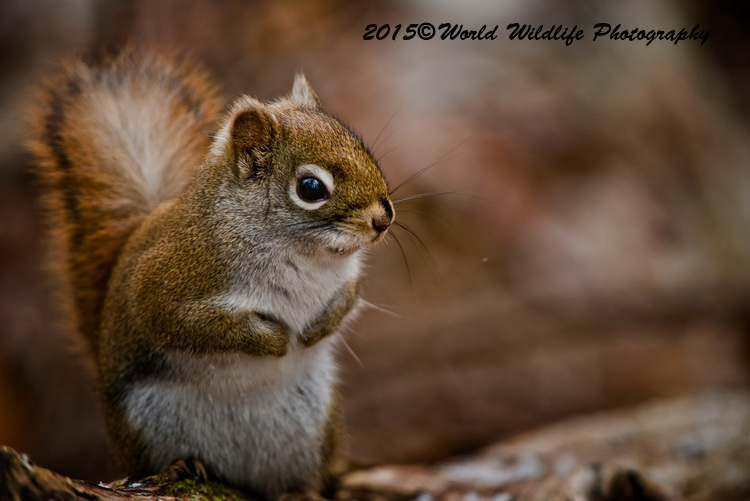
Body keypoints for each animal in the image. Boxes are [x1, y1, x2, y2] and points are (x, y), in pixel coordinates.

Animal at [26, 47, 394, 499]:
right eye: (311, 188)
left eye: (358, 143)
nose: (383, 219)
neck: (304, 254)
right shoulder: (166, 282)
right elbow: (187, 323)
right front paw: (269, 339)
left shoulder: (346, 276)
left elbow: (349, 296)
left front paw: (318, 327)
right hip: (151, 425)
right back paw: (183, 466)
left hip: (310, 428)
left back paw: (297, 489)